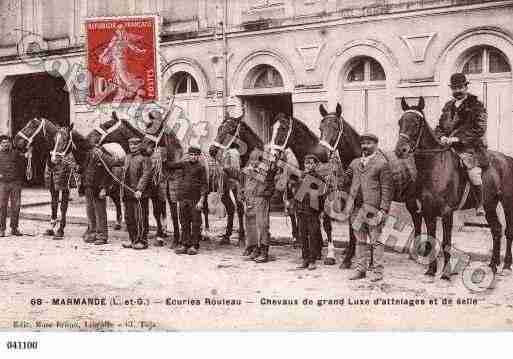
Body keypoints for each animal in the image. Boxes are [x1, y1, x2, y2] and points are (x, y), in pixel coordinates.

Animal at [208, 114, 264, 246]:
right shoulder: (237, 187)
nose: (212, 150)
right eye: (219, 128)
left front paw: (243, 238)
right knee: (231, 208)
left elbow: (243, 209)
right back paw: (226, 236)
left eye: (230, 130)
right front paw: (243, 237)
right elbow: (240, 208)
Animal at [396, 96, 512, 278]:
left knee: (508, 231)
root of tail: (507, 159)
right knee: (497, 230)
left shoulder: (446, 212)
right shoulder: (428, 211)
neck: (436, 167)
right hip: (490, 204)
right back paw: (493, 264)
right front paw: (431, 270)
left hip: (507, 203)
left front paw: (446, 272)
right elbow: (432, 239)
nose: (400, 150)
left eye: (416, 122)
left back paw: (506, 265)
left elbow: (446, 243)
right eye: (400, 122)